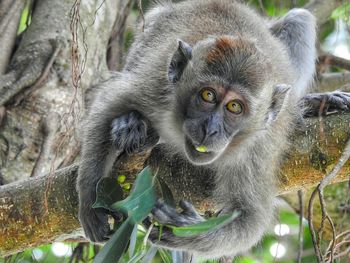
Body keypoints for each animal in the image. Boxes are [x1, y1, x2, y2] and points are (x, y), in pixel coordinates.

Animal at [76, 0, 350, 260]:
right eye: (208, 95)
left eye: (234, 107)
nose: (210, 129)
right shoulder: (154, 87)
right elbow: (107, 105)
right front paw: (90, 202)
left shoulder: (257, 147)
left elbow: (248, 217)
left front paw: (182, 230)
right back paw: (130, 123)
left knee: (299, 20)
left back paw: (309, 105)